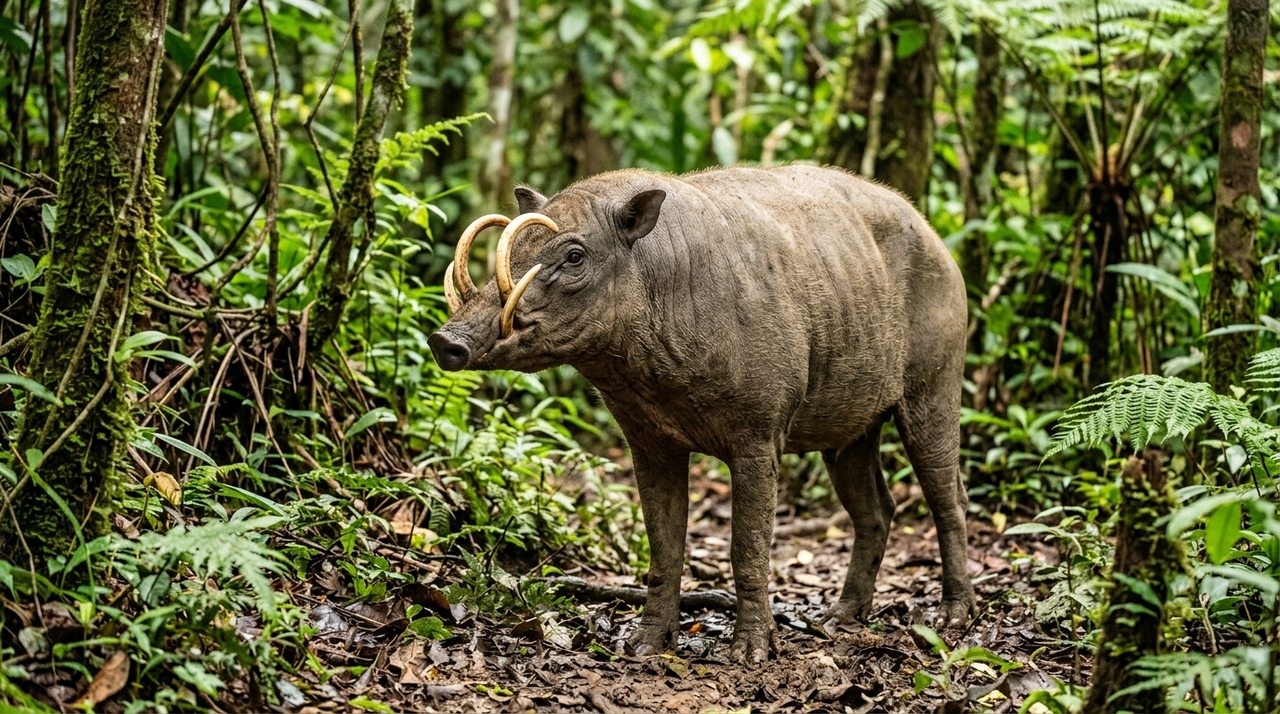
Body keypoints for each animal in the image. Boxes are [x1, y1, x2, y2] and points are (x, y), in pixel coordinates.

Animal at [428, 165, 975, 665]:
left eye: (574, 255)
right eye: (518, 248)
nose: (444, 340)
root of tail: (937, 237)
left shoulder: (759, 432)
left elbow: (747, 548)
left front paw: (751, 655)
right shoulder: (648, 440)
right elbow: (664, 546)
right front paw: (643, 647)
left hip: (936, 381)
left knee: (949, 498)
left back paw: (953, 616)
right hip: (851, 430)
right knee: (877, 508)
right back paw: (839, 618)